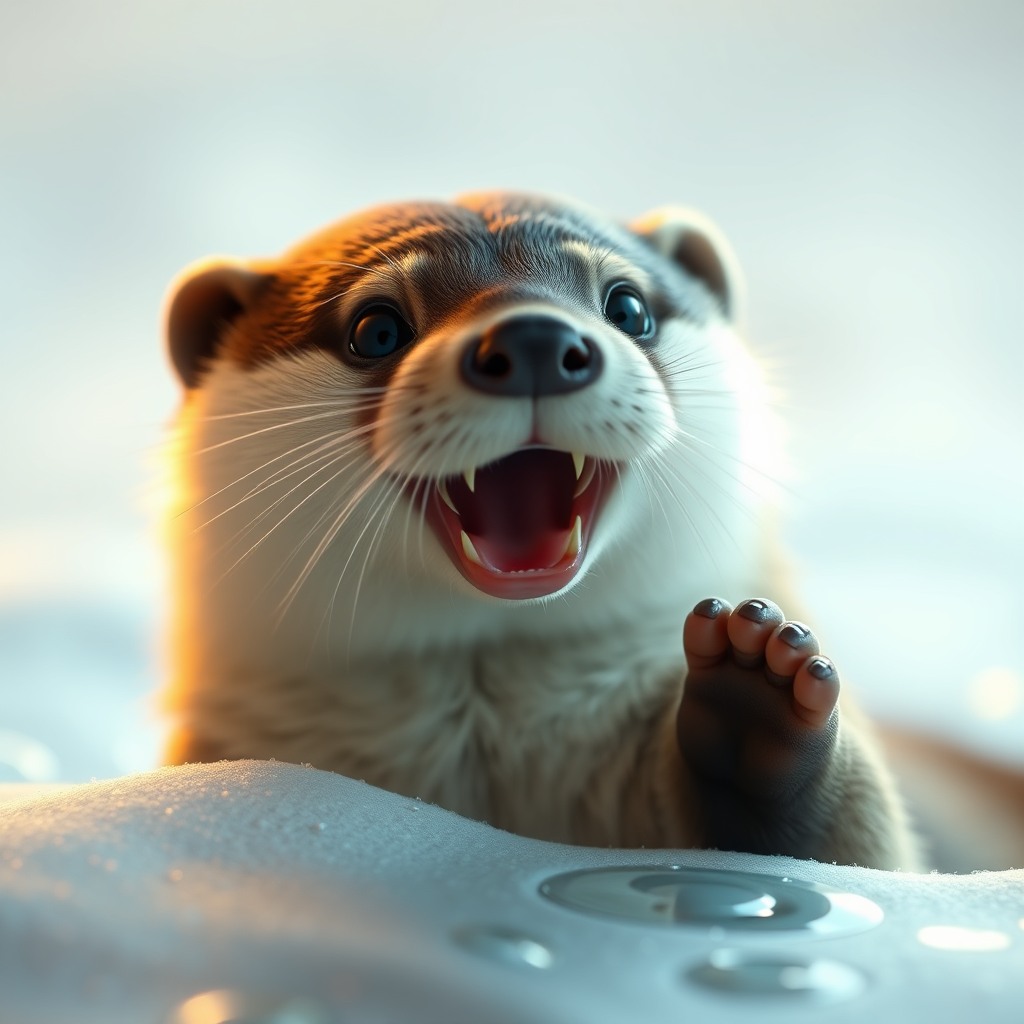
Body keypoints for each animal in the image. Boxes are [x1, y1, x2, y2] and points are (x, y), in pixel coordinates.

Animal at [160, 192, 922, 870]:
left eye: (630, 308)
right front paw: (747, 702)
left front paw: (756, 696)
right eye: (375, 330)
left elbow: (849, 844)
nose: (534, 337)